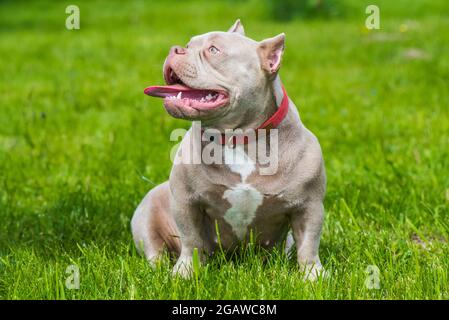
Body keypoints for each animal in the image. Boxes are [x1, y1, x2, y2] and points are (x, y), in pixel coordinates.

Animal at [130, 19, 326, 280]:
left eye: (214, 50)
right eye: (188, 45)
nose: (175, 49)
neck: (237, 138)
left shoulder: (309, 206)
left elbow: (309, 245)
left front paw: (313, 277)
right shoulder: (186, 202)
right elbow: (191, 240)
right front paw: (185, 273)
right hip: (147, 217)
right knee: (156, 252)